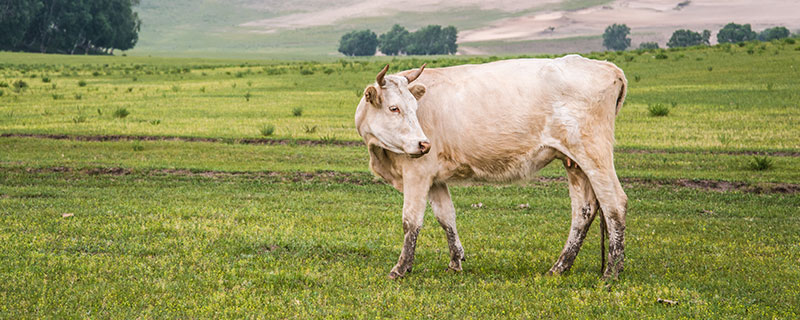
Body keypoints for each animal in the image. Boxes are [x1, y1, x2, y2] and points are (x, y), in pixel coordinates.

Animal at [354, 55, 628, 280]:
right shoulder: (435, 178)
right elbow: (446, 217)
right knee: (584, 210)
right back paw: (560, 267)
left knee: (614, 203)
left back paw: (611, 271)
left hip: (594, 154)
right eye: (394, 108)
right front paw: (455, 262)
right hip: (574, 163)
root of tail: (608, 67)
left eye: (414, 108)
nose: (424, 144)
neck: (381, 152)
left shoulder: (417, 173)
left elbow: (411, 221)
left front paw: (400, 268)